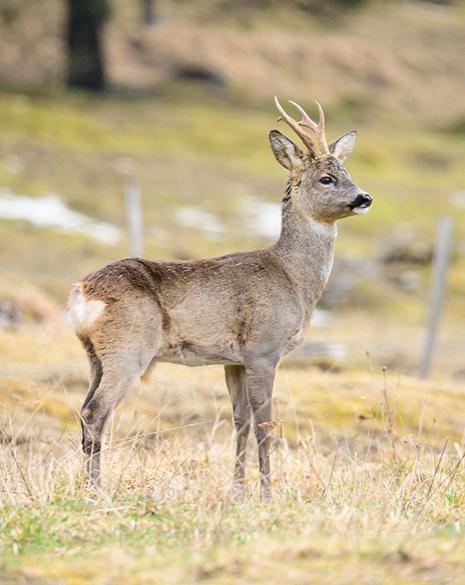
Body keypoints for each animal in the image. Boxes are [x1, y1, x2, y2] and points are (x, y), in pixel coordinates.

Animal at [68, 96, 374, 498]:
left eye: (347, 171)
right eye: (326, 178)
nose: (365, 197)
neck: (294, 278)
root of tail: (82, 293)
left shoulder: (234, 360)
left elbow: (240, 421)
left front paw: (238, 491)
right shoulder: (264, 349)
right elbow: (264, 425)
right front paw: (266, 493)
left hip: (95, 355)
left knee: (84, 409)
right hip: (128, 348)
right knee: (96, 412)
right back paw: (96, 491)